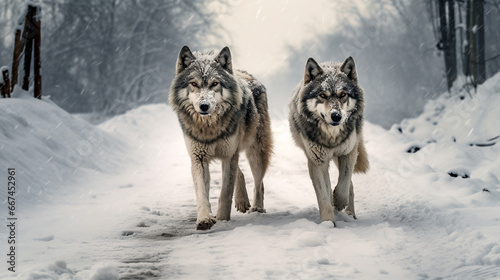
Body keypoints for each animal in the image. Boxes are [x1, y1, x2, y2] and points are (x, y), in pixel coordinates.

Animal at [169, 45, 274, 230]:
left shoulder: (229, 155)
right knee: (241, 172)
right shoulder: (198, 158)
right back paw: (242, 201)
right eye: (194, 83)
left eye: (215, 83)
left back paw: (257, 208)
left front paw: (223, 219)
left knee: (259, 182)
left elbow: (225, 192)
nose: (204, 106)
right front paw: (204, 219)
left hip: (255, 152)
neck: (209, 128)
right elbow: (202, 193)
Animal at [290, 56, 368, 225]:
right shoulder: (317, 162)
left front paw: (338, 202)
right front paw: (328, 223)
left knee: (350, 184)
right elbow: (323, 196)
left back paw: (350, 213)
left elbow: (343, 185)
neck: (332, 137)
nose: (336, 116)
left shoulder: (348, 153)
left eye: (343, 94)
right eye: (323, 95)